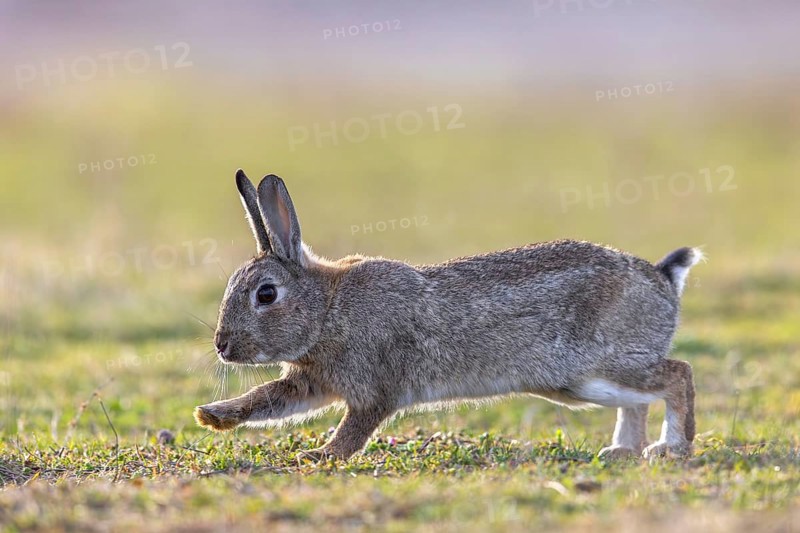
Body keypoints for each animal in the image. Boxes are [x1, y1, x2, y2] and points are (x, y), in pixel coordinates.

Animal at [194, 169, 703, 461]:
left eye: (266, 294)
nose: (222, 345)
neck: (327, 309)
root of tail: (663, 280)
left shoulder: (374, 388)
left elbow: (355, 429)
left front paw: (320, 456)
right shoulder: (314, 380)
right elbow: (267, 399)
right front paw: (212, 416)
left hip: (600, 364)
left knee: (678, 374)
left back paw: (671, 448)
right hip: (580, 385)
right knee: (638, 401)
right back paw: (621, 451)